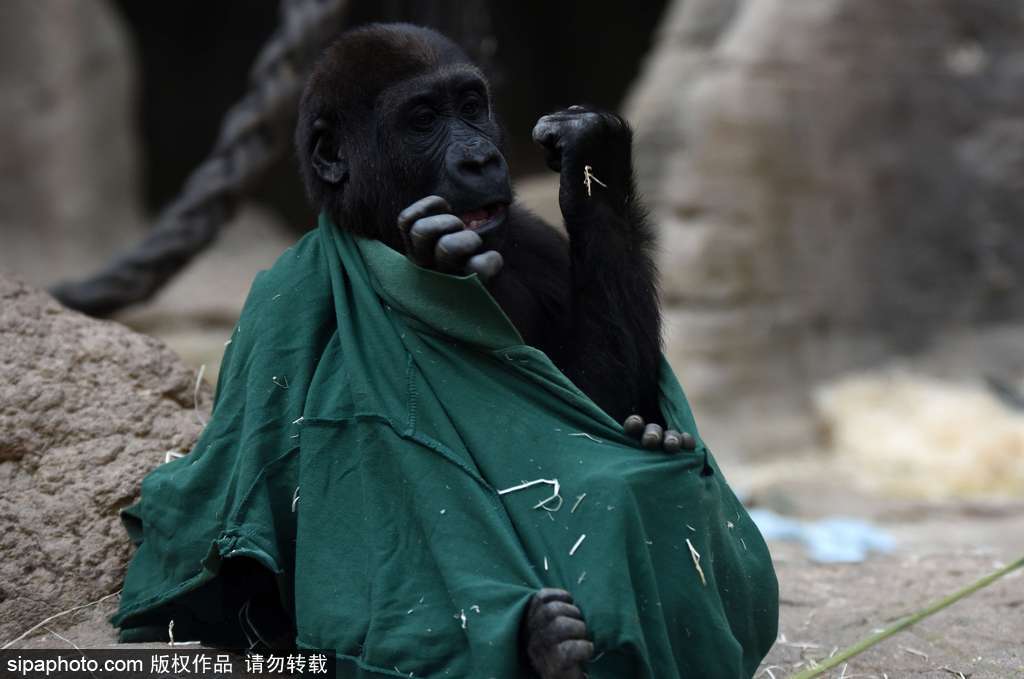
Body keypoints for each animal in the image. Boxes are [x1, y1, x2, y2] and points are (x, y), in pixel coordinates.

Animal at [296, 21, 692, 679]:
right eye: (423, 120)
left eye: (471, 107)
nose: (480, 158)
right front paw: (440, 264)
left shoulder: (533, 240)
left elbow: (602, 404)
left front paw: (592, 155)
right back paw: (544, 642)